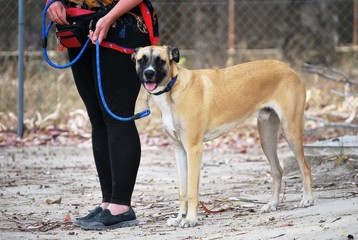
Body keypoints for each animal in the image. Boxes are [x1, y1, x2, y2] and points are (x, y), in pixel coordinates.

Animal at [131, 46, 314, 228]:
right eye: (142, 60)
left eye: (160, 61)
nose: (149, 73)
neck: (173, 87)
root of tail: (288, 68)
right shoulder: (179, 150)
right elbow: (182, 190)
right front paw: (179, 217)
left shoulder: (193, 149)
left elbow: (191, 191)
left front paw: (190, 219)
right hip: (266, 137)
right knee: (277, 170)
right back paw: (273, 204)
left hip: (290, 130)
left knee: (305, 167)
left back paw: (307, 199)